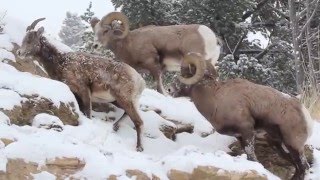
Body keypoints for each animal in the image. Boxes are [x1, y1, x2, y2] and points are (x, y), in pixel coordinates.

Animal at [169, 52, 314, 179]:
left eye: (184, 73)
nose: (170, 89)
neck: (215, 99)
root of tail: (303, 111)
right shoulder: (240, 137)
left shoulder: (247, 132)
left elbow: (253, 158)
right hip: (277, 145)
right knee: (298, 167)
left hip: (293, 144)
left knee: (304, 167)